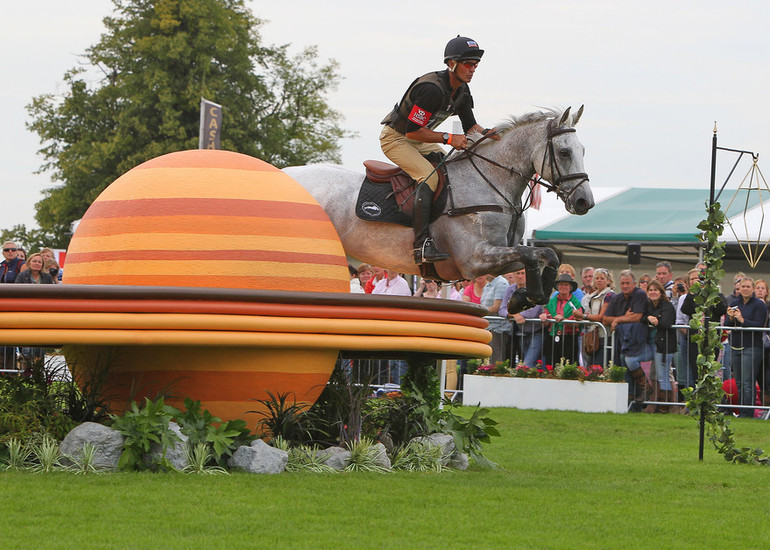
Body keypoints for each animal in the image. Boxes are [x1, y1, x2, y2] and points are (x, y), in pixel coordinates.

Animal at [282, 105, 592, 308]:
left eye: (583, 150)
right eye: (565, 152)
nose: (584, 201)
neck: (491, 179)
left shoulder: (499, 257)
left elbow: (545, 255)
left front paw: (527, 297)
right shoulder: (474, 258)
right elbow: (530, 255)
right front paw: (523, 299)